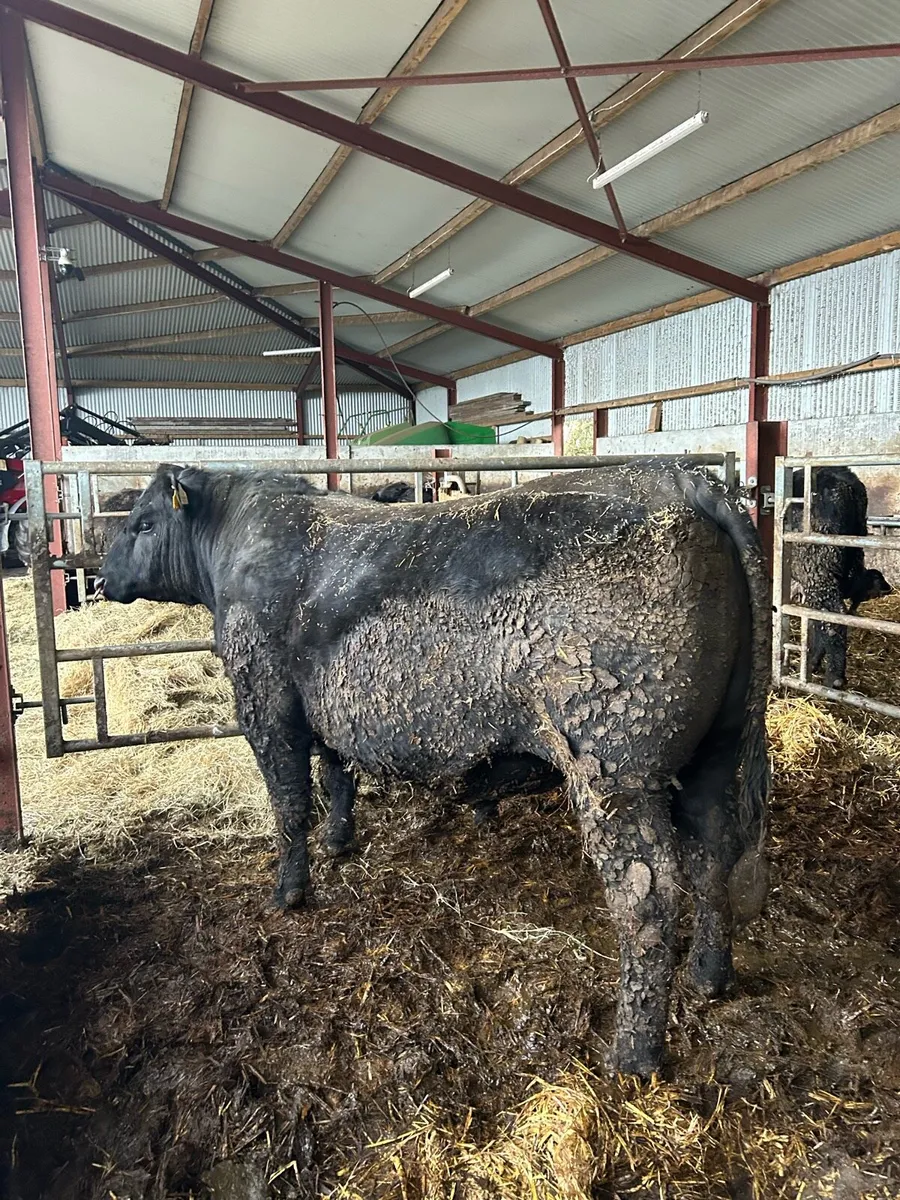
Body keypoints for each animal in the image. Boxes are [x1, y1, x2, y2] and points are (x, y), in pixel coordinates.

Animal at [96, 460, 771, 1078]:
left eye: (143, 522)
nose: (100, 576)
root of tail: (675, 476)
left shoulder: (266, 707)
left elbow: (289, 804)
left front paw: (288, 892)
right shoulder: (329, 709)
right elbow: (336, 774)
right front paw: (339, 840)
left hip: (613, 766)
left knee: (648, 896)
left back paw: (632, 1056)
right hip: (717, 746)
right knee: (714, 852)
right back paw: (709, 976)